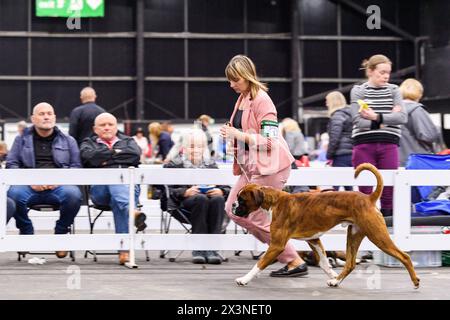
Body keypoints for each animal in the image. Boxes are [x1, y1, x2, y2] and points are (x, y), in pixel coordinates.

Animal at [234, 164, 420, 288]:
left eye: (242, 200)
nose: (233, 207)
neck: (275, 202)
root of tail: (369, 198)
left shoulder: (277, 245)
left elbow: (259, 264)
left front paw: (244, 279)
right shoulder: (314, 240)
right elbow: (324, 262)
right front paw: (332, 273)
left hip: (378, 236)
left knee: (404, 256)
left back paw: (415, 281)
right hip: (353, 236)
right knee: (350, 264)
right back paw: (336, 281)